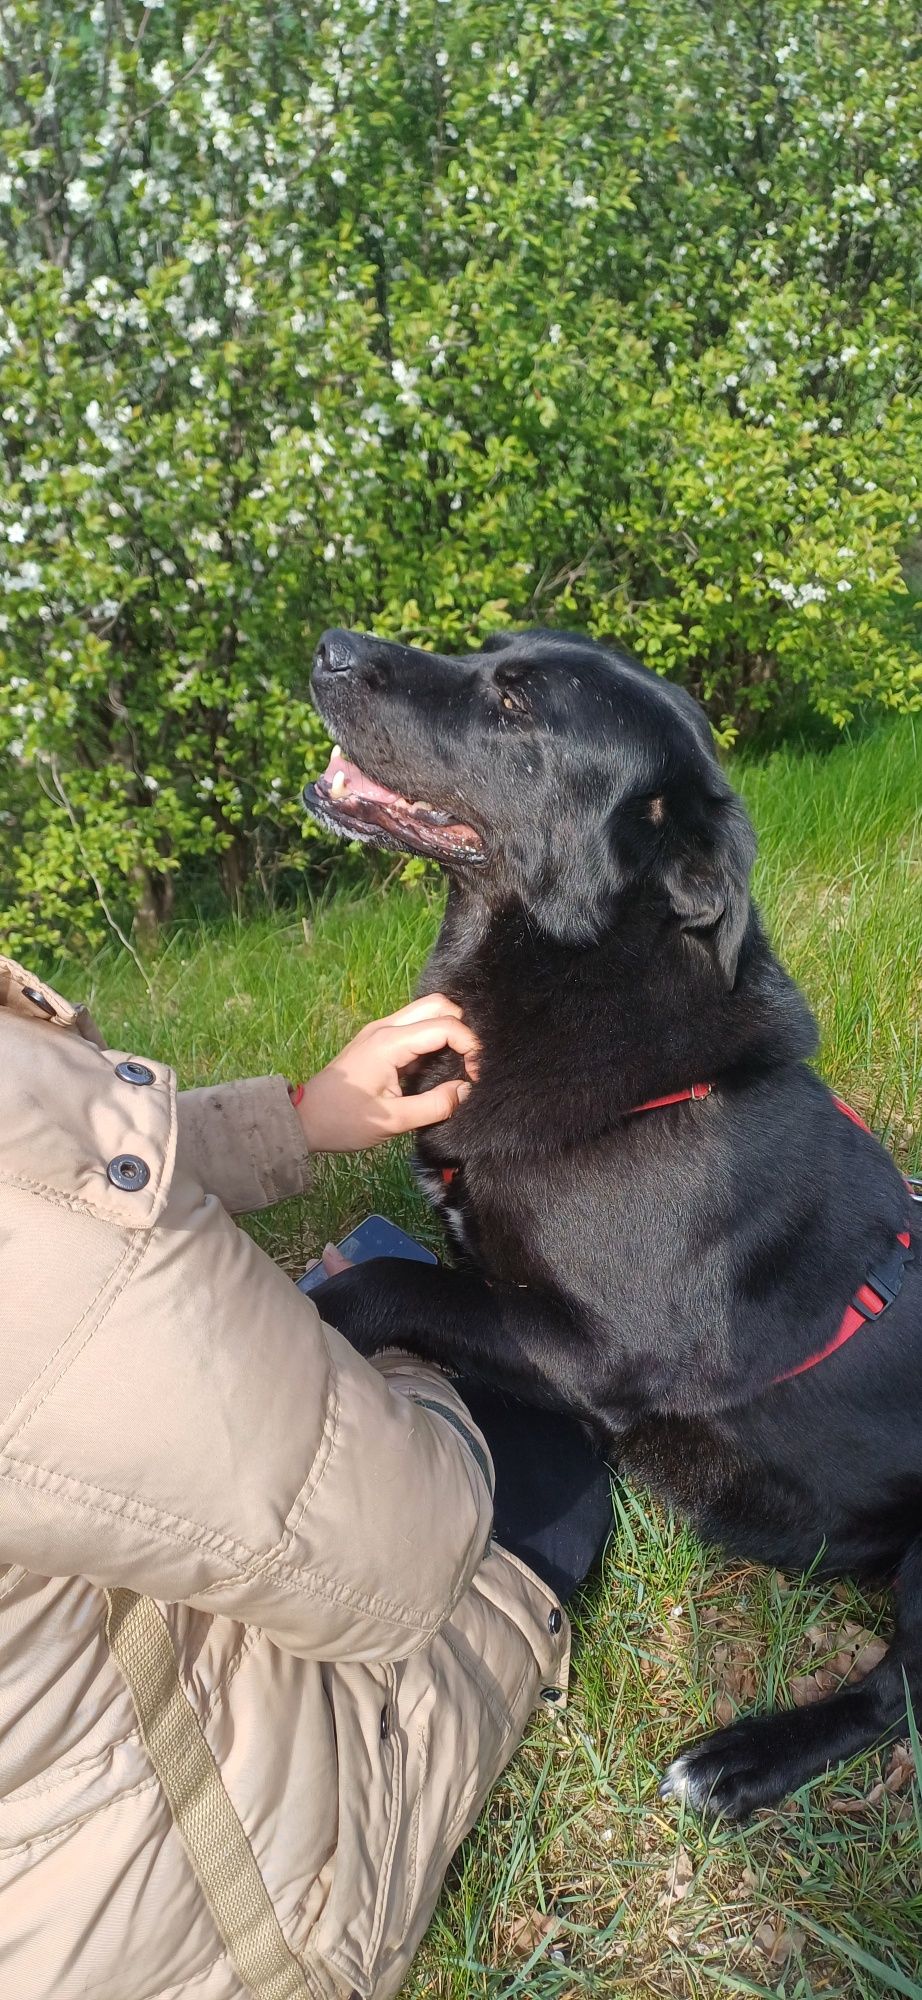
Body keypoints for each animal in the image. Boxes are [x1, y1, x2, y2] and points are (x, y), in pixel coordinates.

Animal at [300, 620, 912, 1816]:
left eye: (518, 702)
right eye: (491, 649)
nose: (332, 646)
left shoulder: (594, 1353)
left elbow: (384, 1280)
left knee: (897, 1690)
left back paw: (736, 1760)